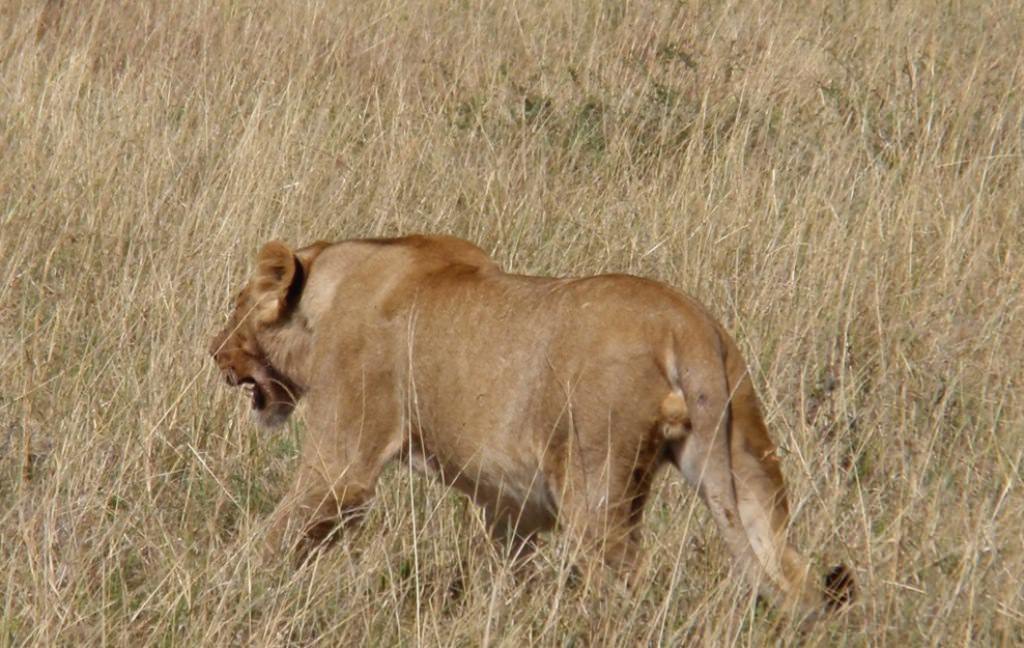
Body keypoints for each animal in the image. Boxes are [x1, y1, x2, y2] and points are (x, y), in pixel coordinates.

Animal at [209, 233, 856, 618]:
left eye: (237, 304)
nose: (215, 353)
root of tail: (686, 323)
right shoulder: (513, 501)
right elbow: (505, 564)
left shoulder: (343, 465)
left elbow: (279, 533)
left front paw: (233, 585)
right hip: (739, 463)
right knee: (785, 567)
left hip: (596, 480)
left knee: (623, 580)